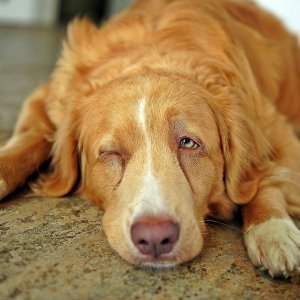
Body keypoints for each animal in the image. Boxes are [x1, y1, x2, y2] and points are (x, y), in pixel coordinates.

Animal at [0, 0, 300, 276]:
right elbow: (27, 142)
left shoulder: (274, 125)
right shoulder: (46, 99)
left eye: (188, 143)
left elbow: (265, 179)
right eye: (110, 153)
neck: (153, 54)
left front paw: (272, 229)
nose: (155, 237)